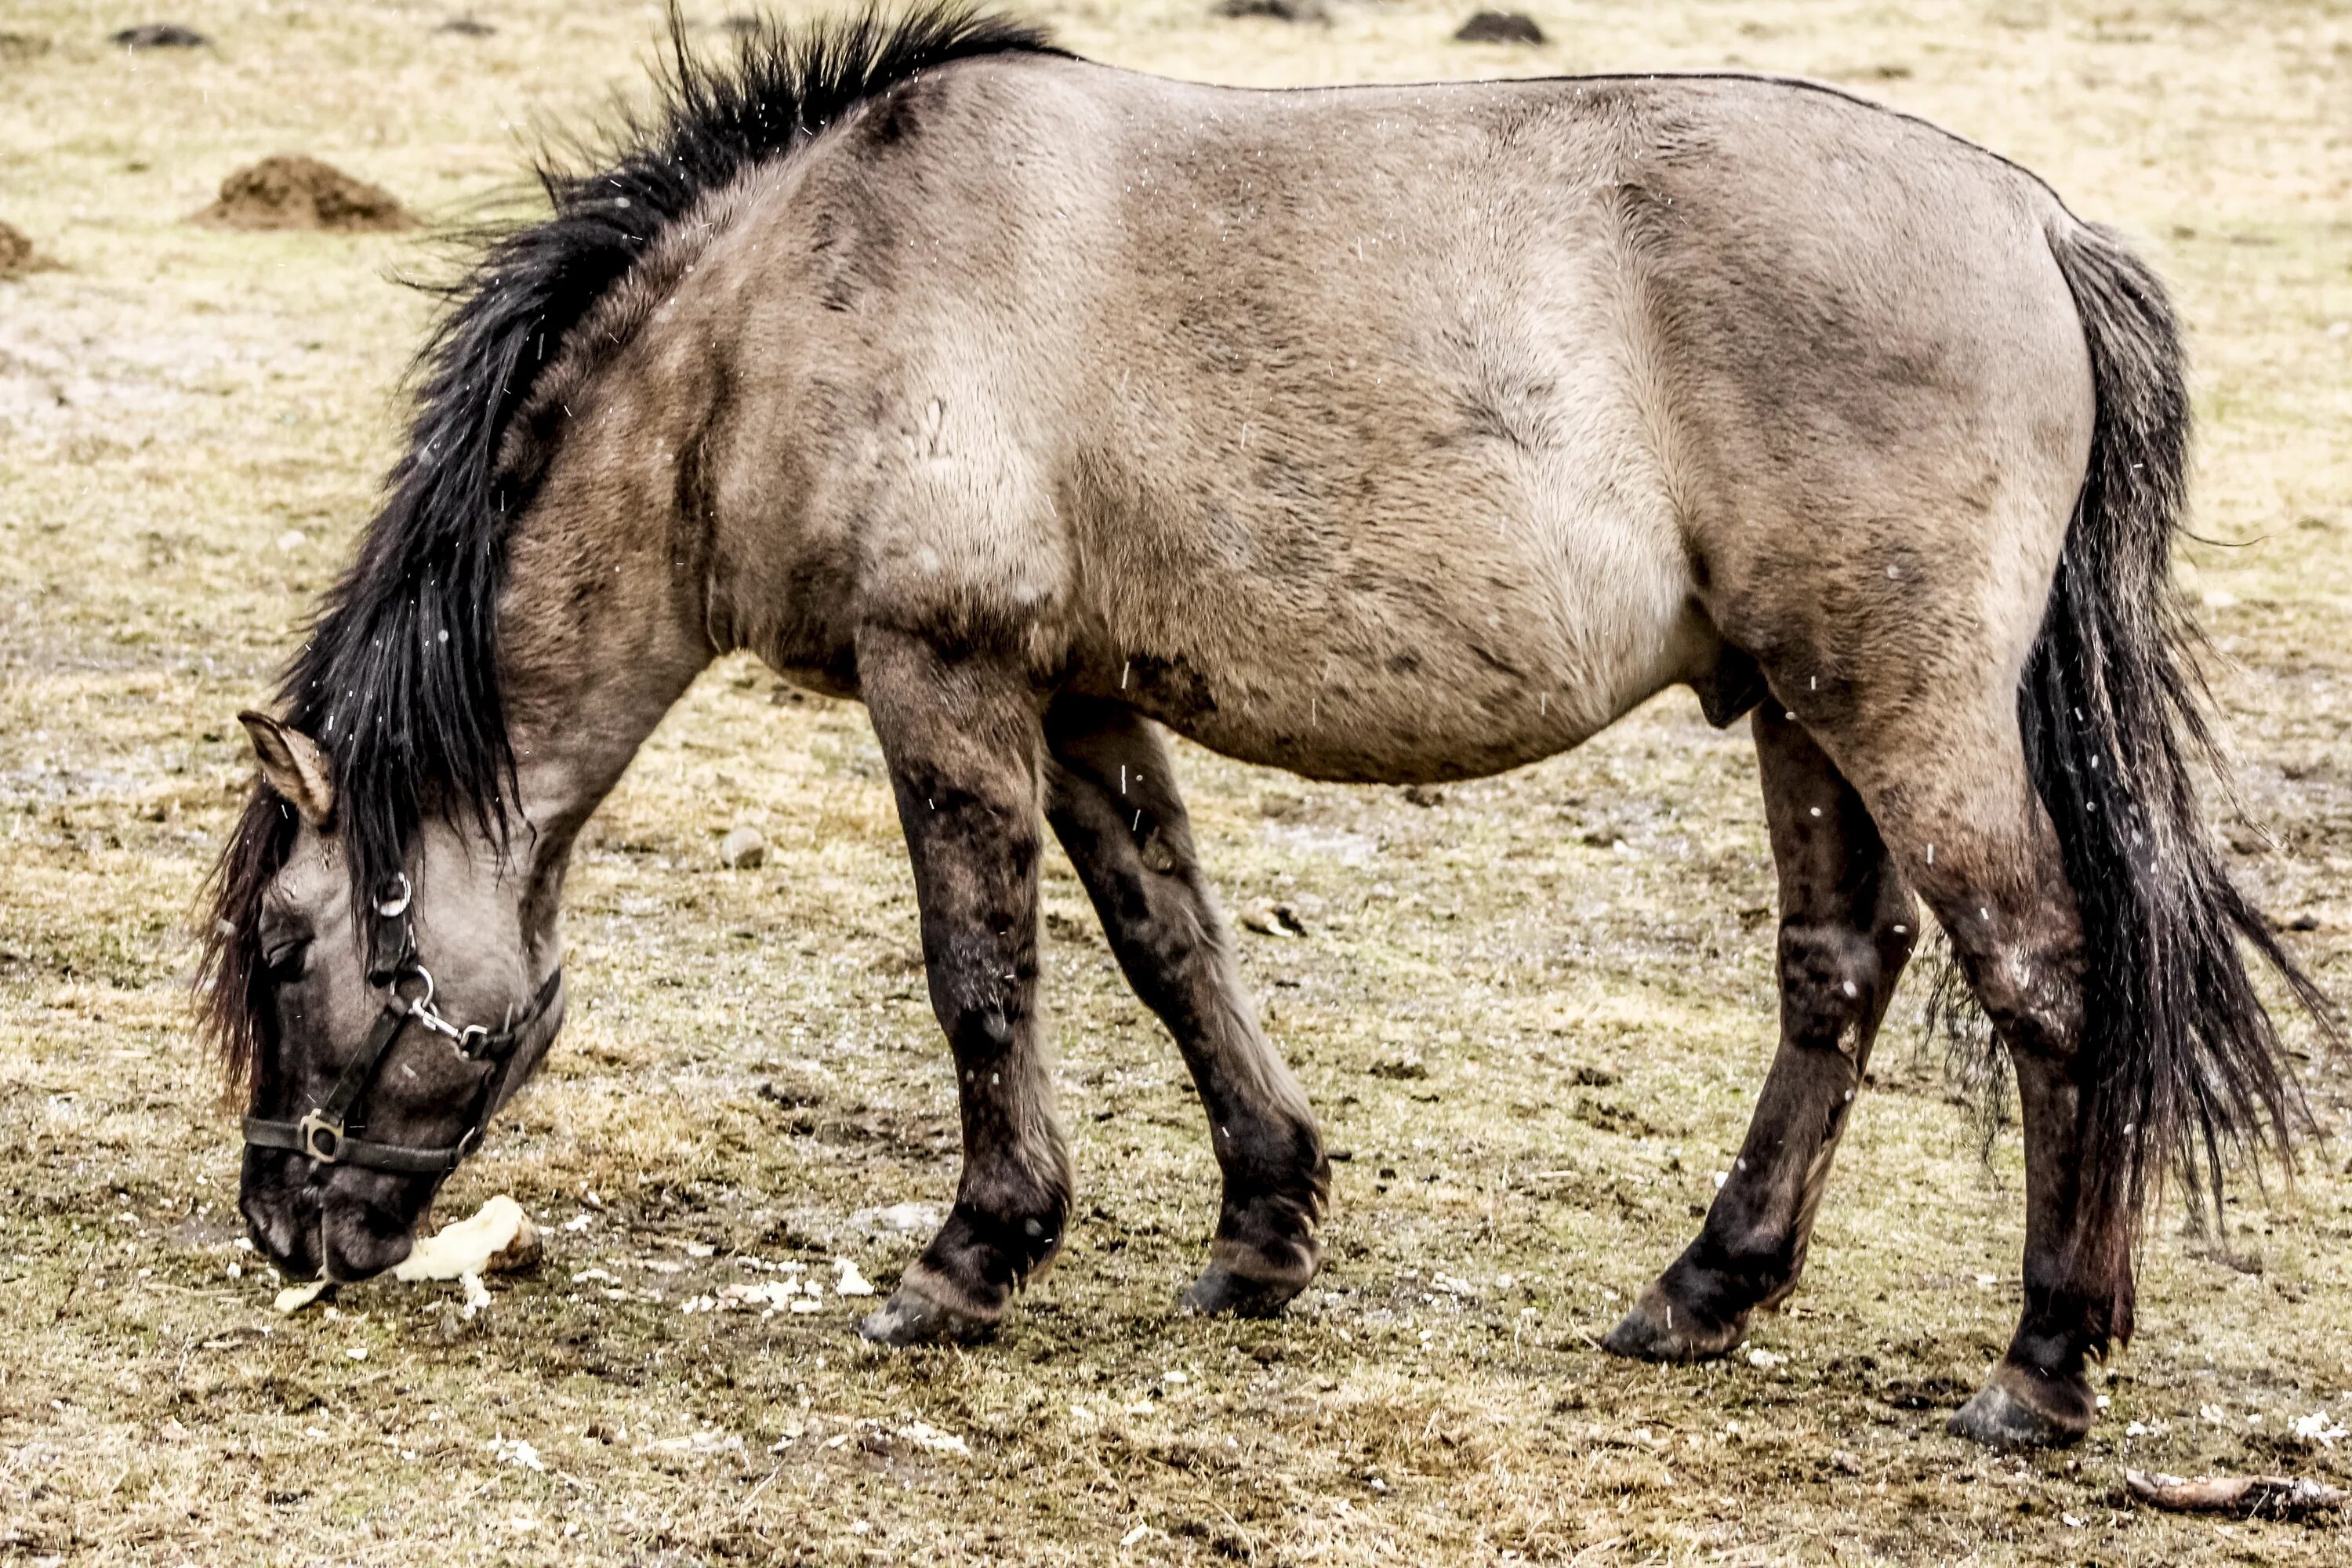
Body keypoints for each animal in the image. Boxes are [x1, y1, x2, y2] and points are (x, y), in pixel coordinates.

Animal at [207, 0, 2333, 1457]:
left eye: (290, 944)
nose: (283, 1226)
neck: (800, 301)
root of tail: (2036, 224)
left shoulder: (943, 675)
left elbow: (982, 972)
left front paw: (966, 1260)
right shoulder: (1076, 699)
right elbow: (1172, 947)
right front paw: (1261, 1224)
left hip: (1895, 705)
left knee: (2045, 976)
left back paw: (2040, 1363)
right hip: (1802, 709)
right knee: (1839, 972)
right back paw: (1701, 1292)